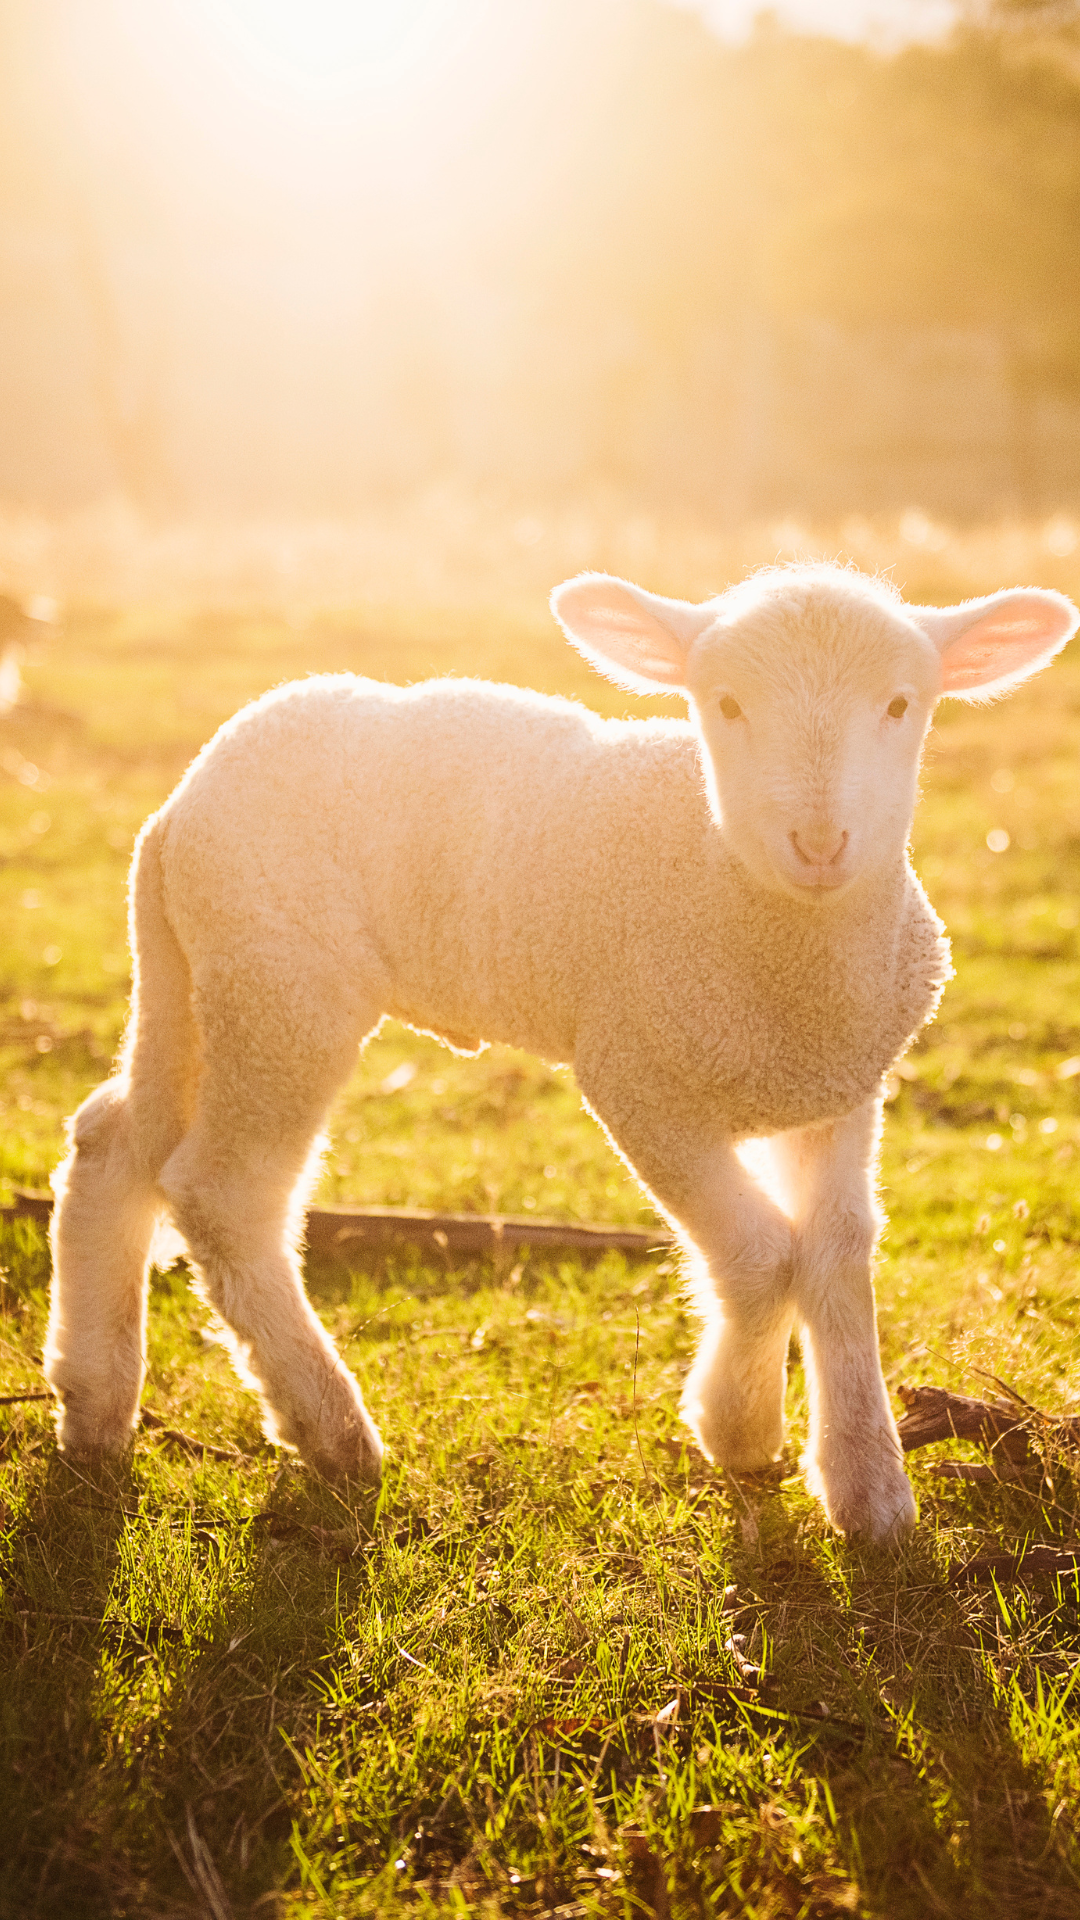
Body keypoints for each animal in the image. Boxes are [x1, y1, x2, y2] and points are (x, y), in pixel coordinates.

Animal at [44, 563, 1077, 1541]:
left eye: (902, 704)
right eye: (726, 704)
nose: (820, 842)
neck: (758, 918)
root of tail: (177, 807)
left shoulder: (839, 1086)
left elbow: (838, 1251)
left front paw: (868, 1488)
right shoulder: (635, 1076)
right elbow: (757, 1254)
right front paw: (740, 1428)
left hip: (193, 975)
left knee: (112, 1143)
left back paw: (93, 1404)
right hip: (281, 989)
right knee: (225, 1195)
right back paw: (330, 1429)